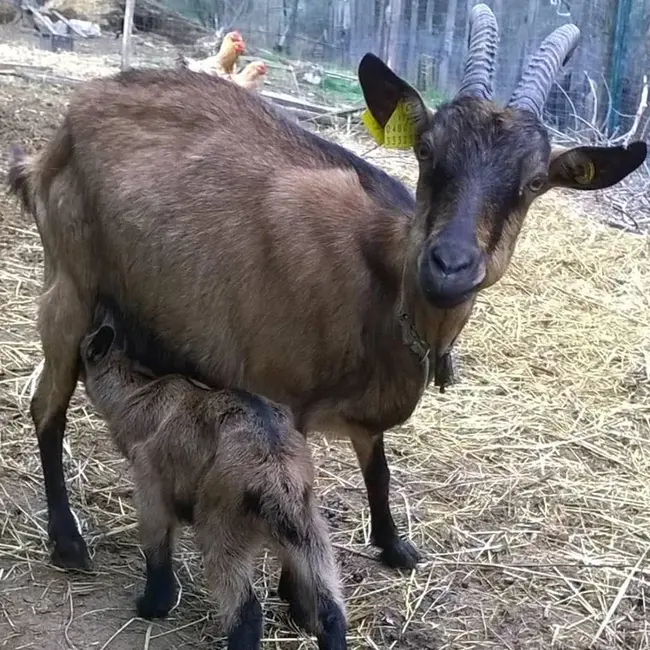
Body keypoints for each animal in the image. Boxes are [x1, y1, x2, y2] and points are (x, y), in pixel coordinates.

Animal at [7, 5, 644, 572]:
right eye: (426, 151)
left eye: (535, 181)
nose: (449, 266)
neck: (383, 290)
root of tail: (63, 128)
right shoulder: (278, 394)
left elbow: (379, 469)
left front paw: (394, 546)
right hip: (69, 283)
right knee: (47, 404)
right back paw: (67, 542)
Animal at [79, 308, 346, 648]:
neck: (136, 395)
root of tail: (278, 476)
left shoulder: (151, 487)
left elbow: (157, 549)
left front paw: (153, 606)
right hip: (306, 527)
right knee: (329, 607)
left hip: (223, 526)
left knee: (246, 610)